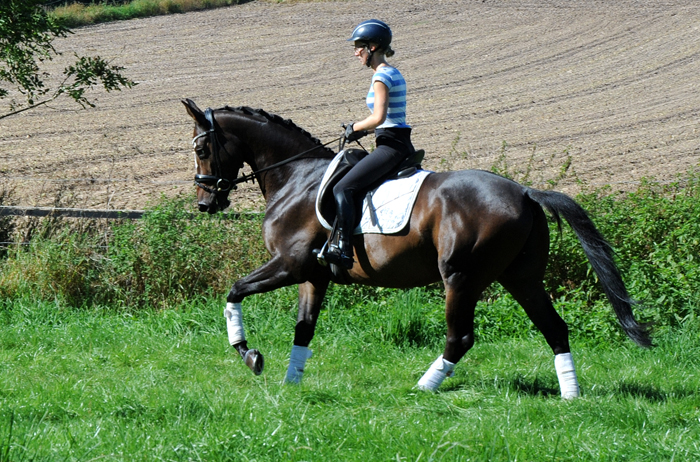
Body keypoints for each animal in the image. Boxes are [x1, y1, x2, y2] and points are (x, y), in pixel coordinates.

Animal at [182, 99, 652, 396]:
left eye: (202, 147)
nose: (206, 203)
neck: (296, 178)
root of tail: (523, 191)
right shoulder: (313, 276)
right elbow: (304, 328)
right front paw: (290, 383)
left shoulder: (289, 265)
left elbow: (234, 292)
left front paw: (250, 355)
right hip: (521, 277)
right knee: (554, 329)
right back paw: (571, 395)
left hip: (460, 278)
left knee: (460, 337)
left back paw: (424, 387)